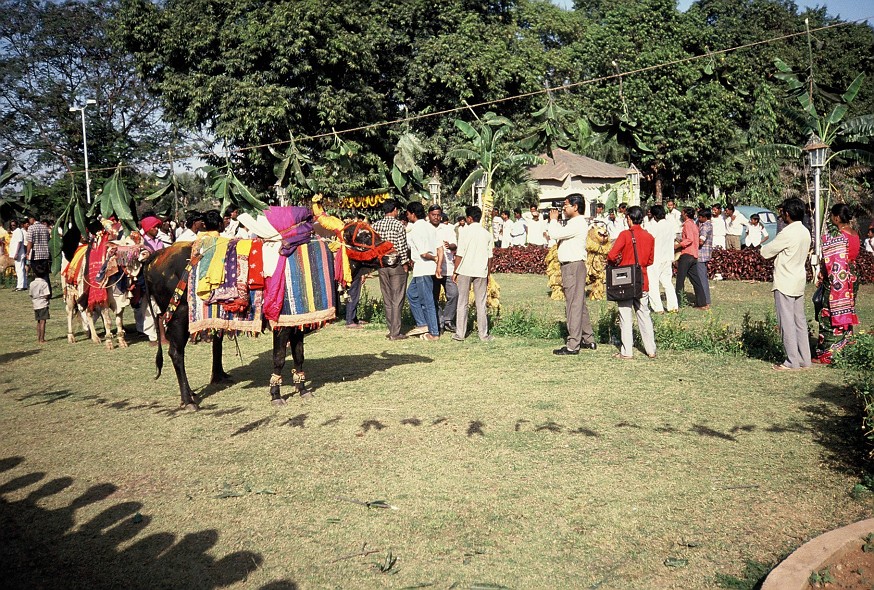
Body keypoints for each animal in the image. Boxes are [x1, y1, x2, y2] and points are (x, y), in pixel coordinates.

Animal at [145, 212, 396, 412]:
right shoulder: (281, 324)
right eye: (362, 235)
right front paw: (276, 394)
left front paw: (302, 389)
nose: (394, 256)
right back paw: (188, 400)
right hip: (178, 318)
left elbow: (299, 356)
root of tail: (155, 257)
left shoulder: (298, 323)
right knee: (176, 353)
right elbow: (278, 358)